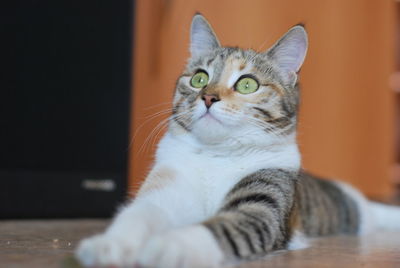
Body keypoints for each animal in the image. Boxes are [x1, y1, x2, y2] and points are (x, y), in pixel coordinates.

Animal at [75, 14, 400, 268]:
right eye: (199, 78)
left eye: (247, 84)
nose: (208, 97)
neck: (216, 156)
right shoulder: (165, 189)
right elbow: (137, 216)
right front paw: (108, 244)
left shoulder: (261, 206)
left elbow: (221, 227)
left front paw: (169, 246)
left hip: (351, 209)